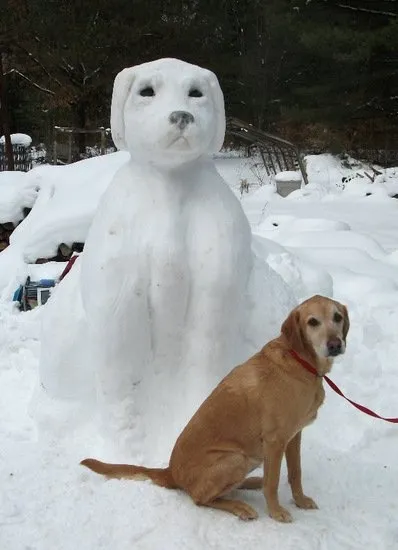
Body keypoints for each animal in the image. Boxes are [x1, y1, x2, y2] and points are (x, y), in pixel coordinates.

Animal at [81, 296, 348, 524]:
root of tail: (171, 473)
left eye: (337, 317)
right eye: (312, 322)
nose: (336, 344)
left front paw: (300, 500)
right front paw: (276, 512)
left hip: (251, 457)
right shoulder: (275, 441)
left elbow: (295, 473)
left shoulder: (293, 437)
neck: (301, 361)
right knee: (200, 498)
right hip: (236, 458)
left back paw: (252, 482)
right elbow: (272, 484)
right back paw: (240, 506)